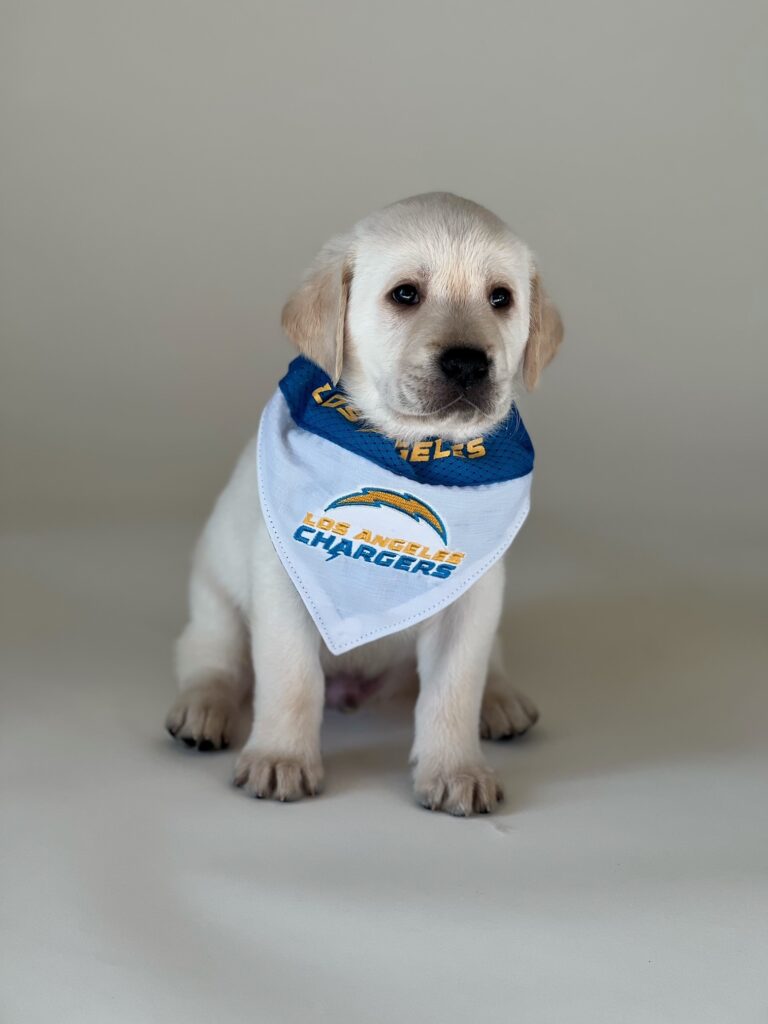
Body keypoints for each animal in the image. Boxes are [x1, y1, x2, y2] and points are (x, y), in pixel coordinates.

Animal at [165, 192, 561, 815]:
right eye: (405, 294)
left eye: (501, 298)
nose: (469, 363)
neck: (409, 452)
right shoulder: (283, 582)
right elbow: (291, 677)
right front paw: (281, 758)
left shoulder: (472, 602)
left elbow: (454, 689)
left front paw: (456, 769)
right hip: (214, 601)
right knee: (212, 659)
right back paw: (204, 708)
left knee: (487, 667)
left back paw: (501, 701)